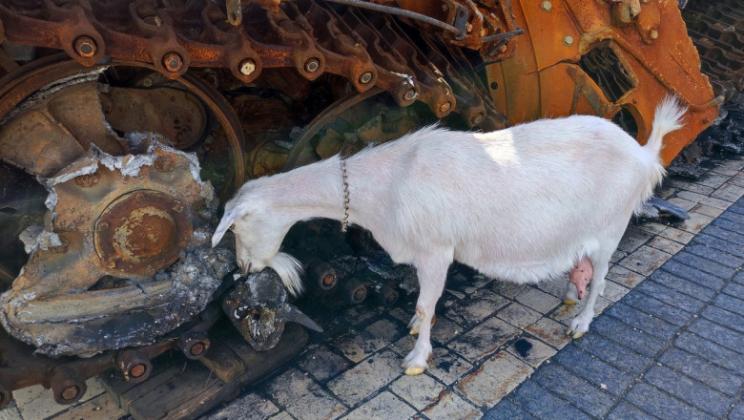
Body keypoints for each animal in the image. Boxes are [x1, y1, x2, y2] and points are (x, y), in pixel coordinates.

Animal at [212, 97, 685, 375]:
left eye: (235, 226)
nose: (243, 269)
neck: (387, 184)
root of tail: (644, 154)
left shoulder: (436, 251)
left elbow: (427, 303)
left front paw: (416, 360)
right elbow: (422, 307)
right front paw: (412, 330)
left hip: (611, 226)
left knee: (603, 277)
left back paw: (581, 322)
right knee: (582, 263)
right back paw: (572, 292)